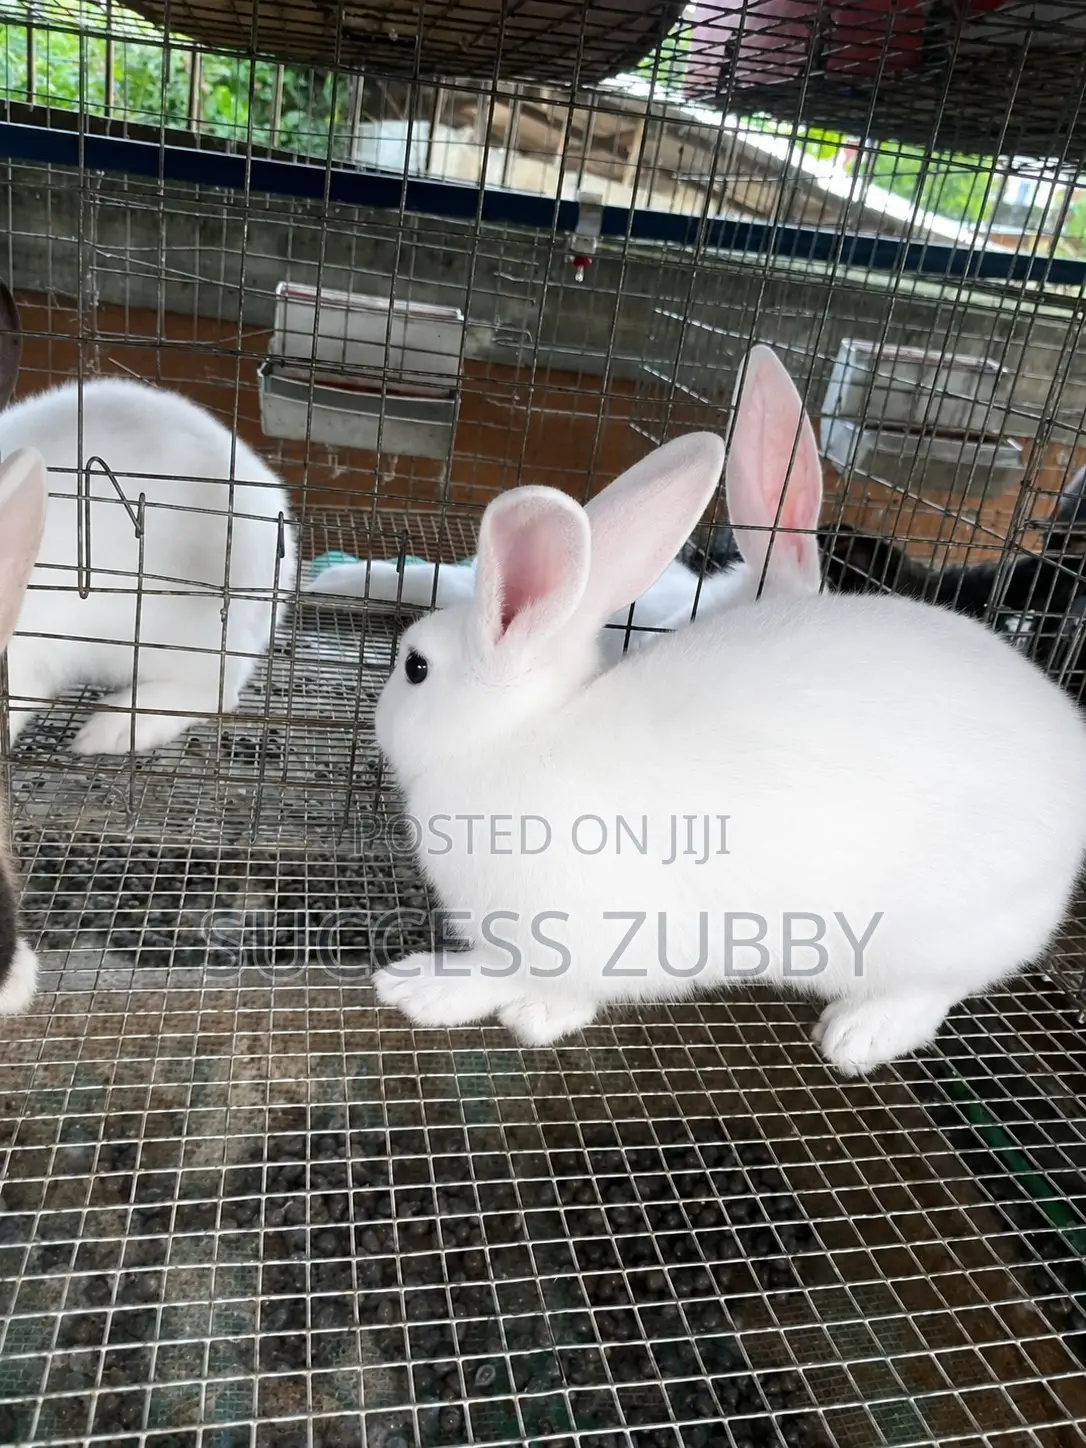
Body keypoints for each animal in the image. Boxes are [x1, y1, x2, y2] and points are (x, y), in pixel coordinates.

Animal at [369, 344, 1086, 1077]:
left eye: (415, 667)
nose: (379, 715)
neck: (508, 741)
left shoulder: (585, 931)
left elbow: (512, 971)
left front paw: (431, 990)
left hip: (940, 931)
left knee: (938, 988)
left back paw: (859, 1035)